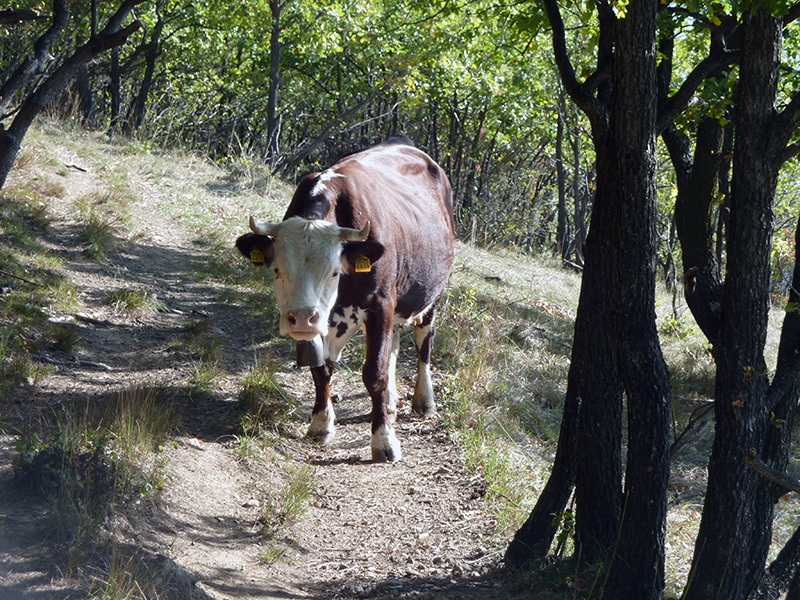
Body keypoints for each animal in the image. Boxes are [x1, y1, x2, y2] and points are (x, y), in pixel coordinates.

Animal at [234, 137, 454, 464]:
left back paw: (424, 400)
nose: (300, 318)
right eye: (277, 270)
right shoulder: (322, 319)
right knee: (395, 344)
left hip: (431, 295)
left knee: (423, 341)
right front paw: (321, 423)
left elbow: (374, 373)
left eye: (334, 271)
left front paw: (384, 439)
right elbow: (321, 369)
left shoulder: (380, 305)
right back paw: (391, 402)